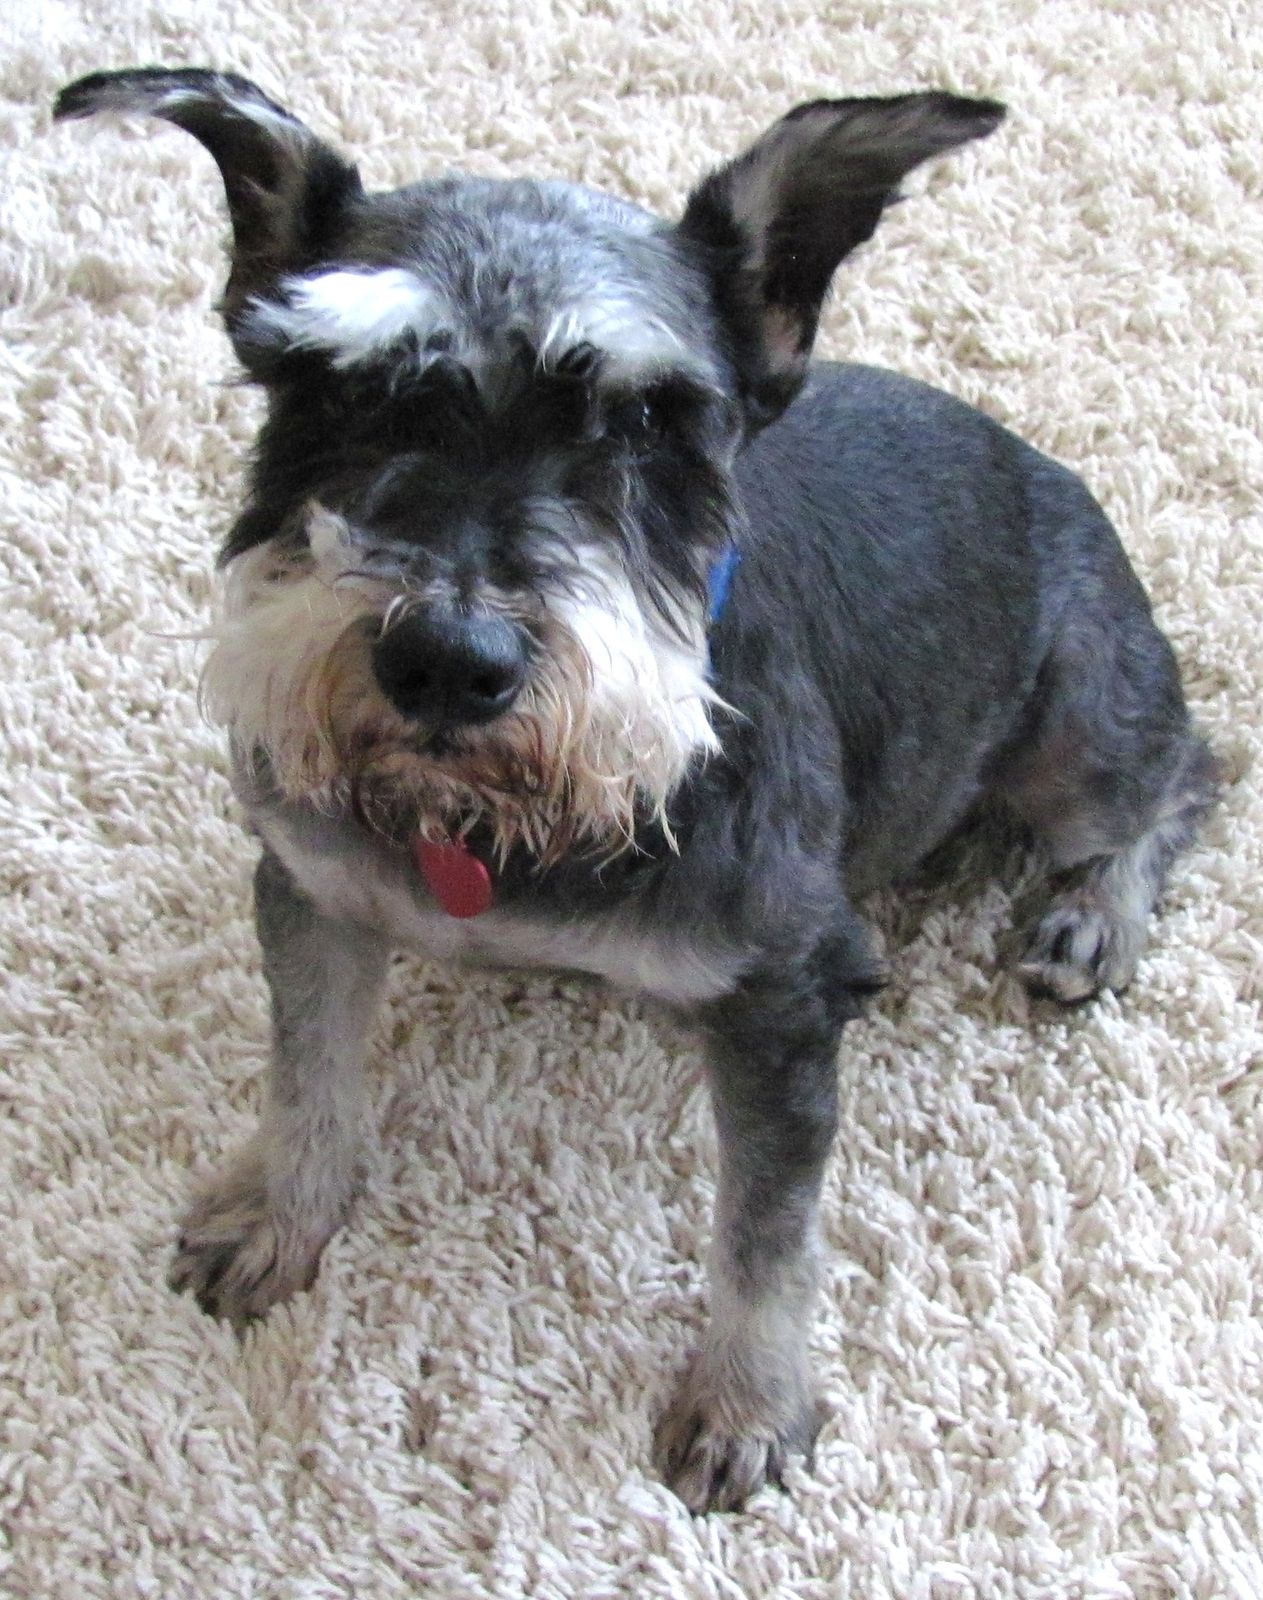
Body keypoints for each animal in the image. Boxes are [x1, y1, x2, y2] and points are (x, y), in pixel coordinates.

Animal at [54, 67, 1216, 1513]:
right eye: (340, 392)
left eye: (649, 421)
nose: (446, 660)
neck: (497, 825)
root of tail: (1060, 479)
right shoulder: (312, 886)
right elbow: (306, 1068)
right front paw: (277, 1212)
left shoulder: (781, 1000)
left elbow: (766, 1230)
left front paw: (747, 1404)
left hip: (1075, 729)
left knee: (1182, 777)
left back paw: (1092, 916)